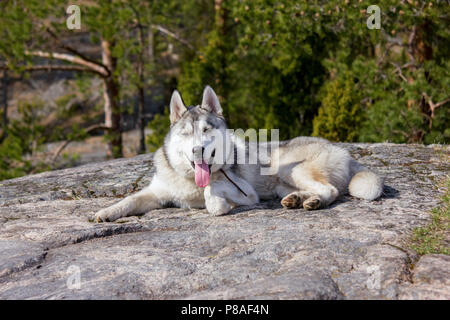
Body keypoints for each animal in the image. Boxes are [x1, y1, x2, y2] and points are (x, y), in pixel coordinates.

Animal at [95, 86, 384, 224]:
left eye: (206, 129)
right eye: (186, 133)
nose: (197, 149)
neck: (190, 180)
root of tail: (343, 150)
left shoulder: (248, 194)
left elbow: (213, 196)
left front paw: (217, 203)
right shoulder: (155, 193)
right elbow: (130, 200)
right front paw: (106, 212)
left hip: (290, 169)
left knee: (330, 191)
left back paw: (313, 202)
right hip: (283, 183)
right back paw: (298, 199)